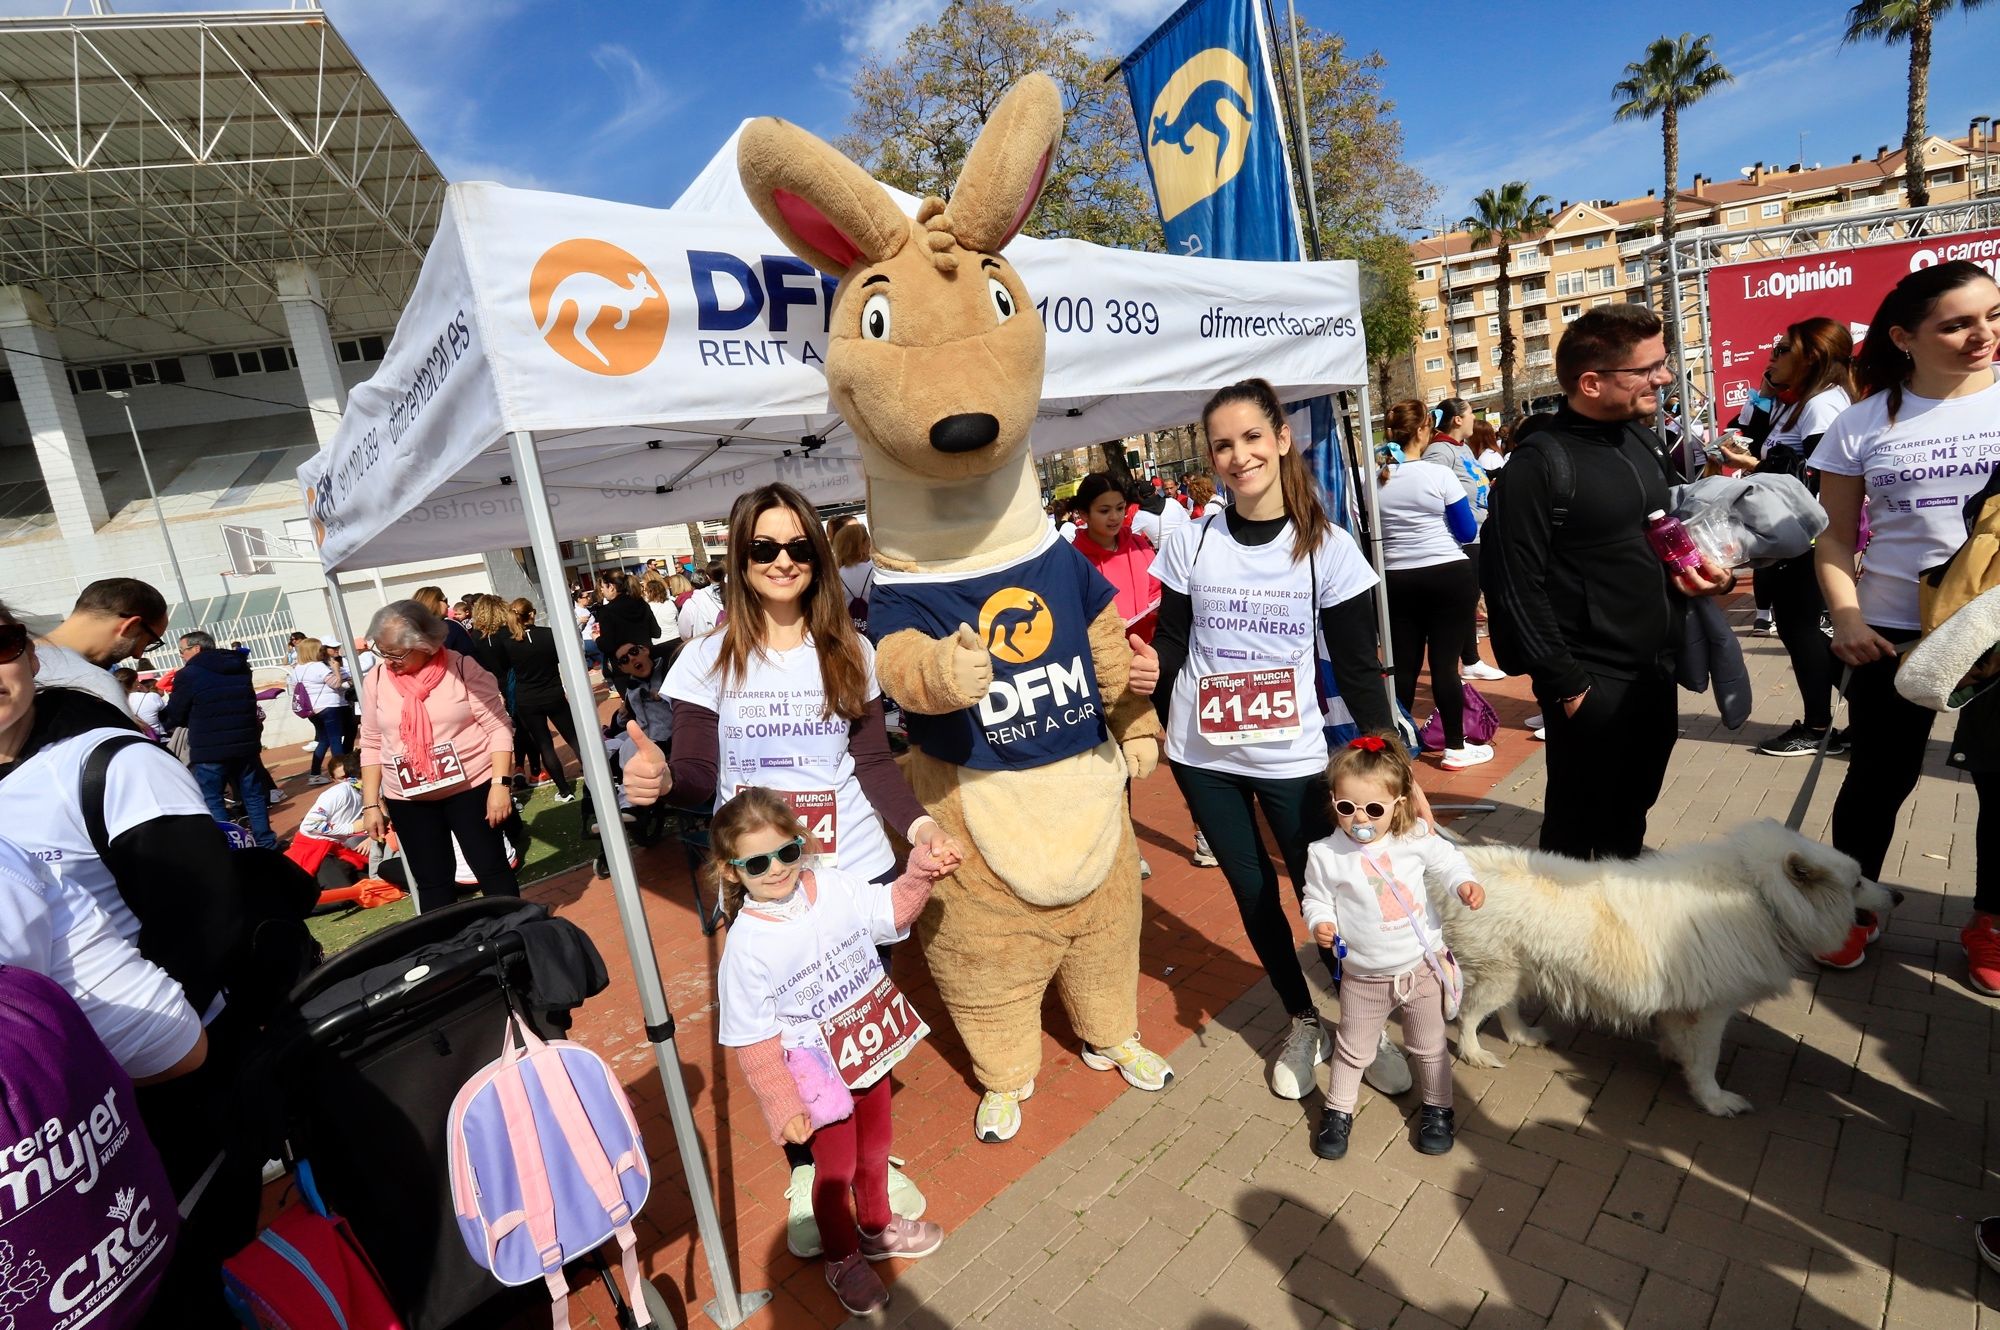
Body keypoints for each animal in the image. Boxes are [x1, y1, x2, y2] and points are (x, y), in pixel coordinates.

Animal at [1448, 820, 1896, 1112]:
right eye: (1858, 882)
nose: (1898, 897)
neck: (1762, 896)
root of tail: (1465, 863)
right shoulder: (1713, 1011)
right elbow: (1707, 1061)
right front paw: (1715, 1100)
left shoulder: (1685, 1002)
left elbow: (1677, 1038)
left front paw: (1673, 1055)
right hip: (1497, 974)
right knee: (1468, 1016)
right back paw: (1476, 1055)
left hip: (1517, 974)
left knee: (1504, 1009)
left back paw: (1523, 1036)